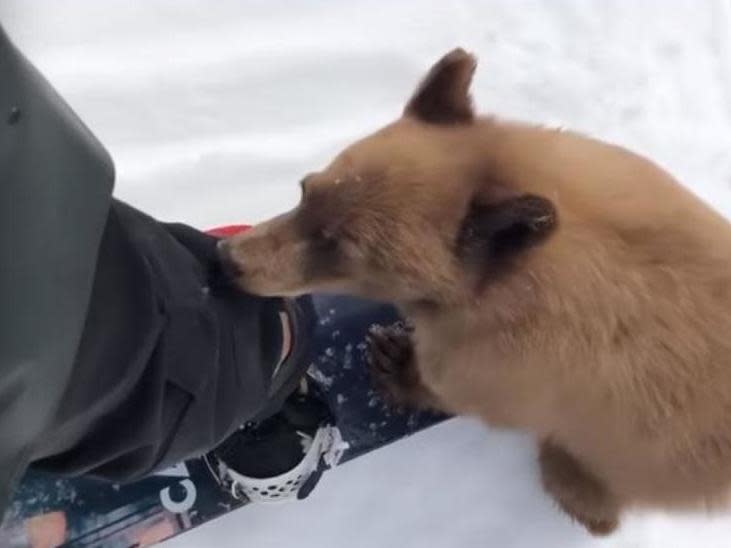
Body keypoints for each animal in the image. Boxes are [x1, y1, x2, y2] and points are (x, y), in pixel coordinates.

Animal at [217, 48, 731, 536]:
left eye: (339, 246)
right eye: (305, 189)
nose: (228, 258)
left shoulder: (509, 366)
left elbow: (454, 387)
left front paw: (394, 363)